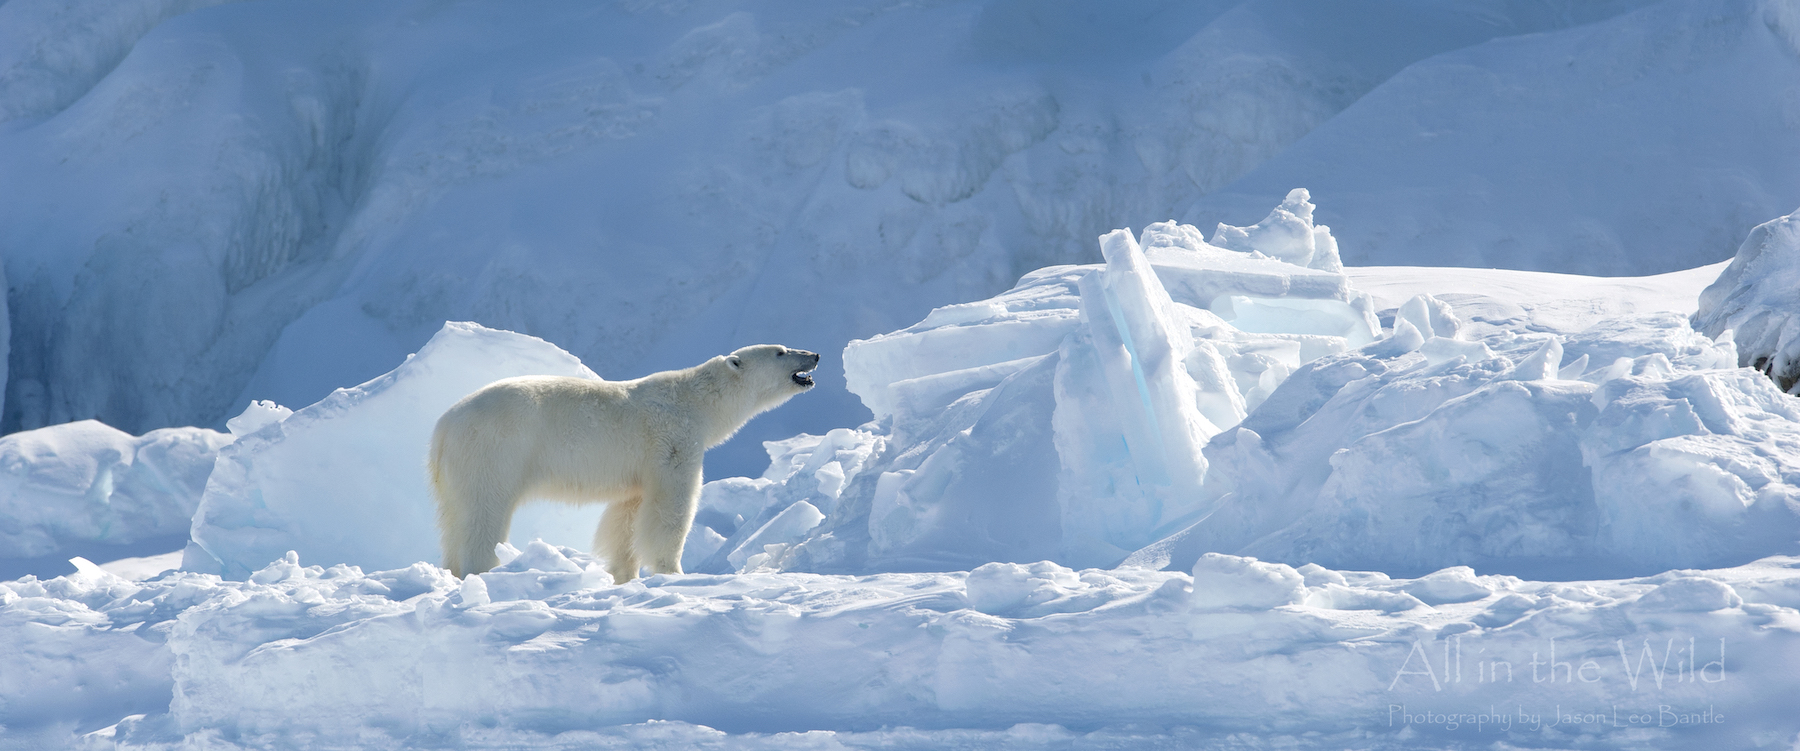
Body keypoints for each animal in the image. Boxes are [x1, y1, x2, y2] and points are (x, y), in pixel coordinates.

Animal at [429, 344, 819, 581]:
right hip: (495, 450)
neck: (696, 401)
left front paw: (624, 576)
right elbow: (670, 507)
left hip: (455, 471)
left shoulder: (638, 468)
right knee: (484, 511)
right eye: (781, 350)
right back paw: (482, 571)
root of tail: (443, 426)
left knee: (453, 519)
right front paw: (672, 572)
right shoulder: (672, 441)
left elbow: (626, 518)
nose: (814, 354)